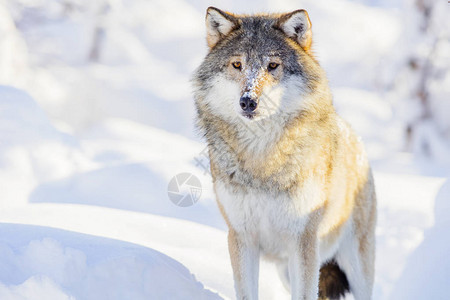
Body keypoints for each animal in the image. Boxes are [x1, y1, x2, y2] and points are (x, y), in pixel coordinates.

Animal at [192, 7, 378, 300]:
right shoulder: (241, 237)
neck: (262, 158)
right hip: (286, 271)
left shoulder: (303, 240)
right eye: (237, 65)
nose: (248, 101)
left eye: (272, 66)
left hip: (355, 266)